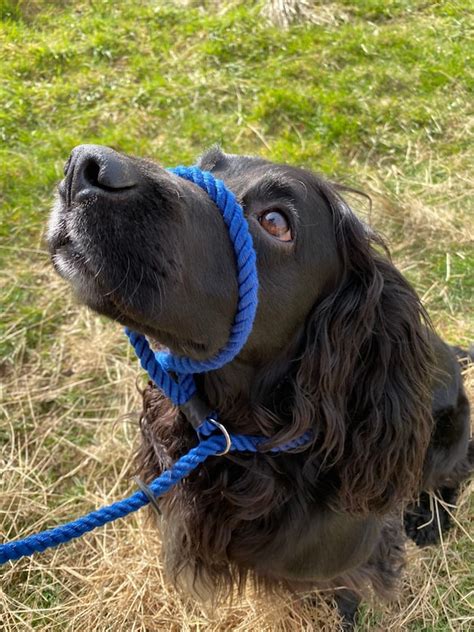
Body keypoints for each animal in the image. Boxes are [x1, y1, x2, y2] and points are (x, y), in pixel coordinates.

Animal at [47, 146, 470, 628]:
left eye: (276, 222)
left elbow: (344, 594)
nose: (84, 167)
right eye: (205, 165)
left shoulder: (351, 558)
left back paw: (431, 521)